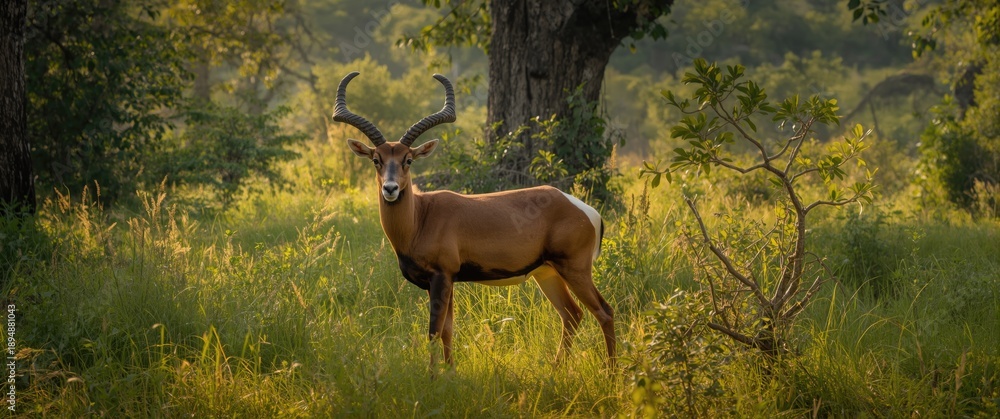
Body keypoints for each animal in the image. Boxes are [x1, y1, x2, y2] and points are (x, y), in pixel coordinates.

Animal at [333, 71, 615, 368]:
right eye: (376, 159)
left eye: (408, 159)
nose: (390, 188)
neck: (421, 216)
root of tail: (585, 210)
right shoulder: (445, 282)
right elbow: (448, 329)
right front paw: (450, 372)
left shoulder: (441, 277)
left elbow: (434, 331)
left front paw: (433, 374)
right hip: (547, 273)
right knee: (572, 314)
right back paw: (556, 368)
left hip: (575, 269)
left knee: (604, 311)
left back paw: (610, 371)